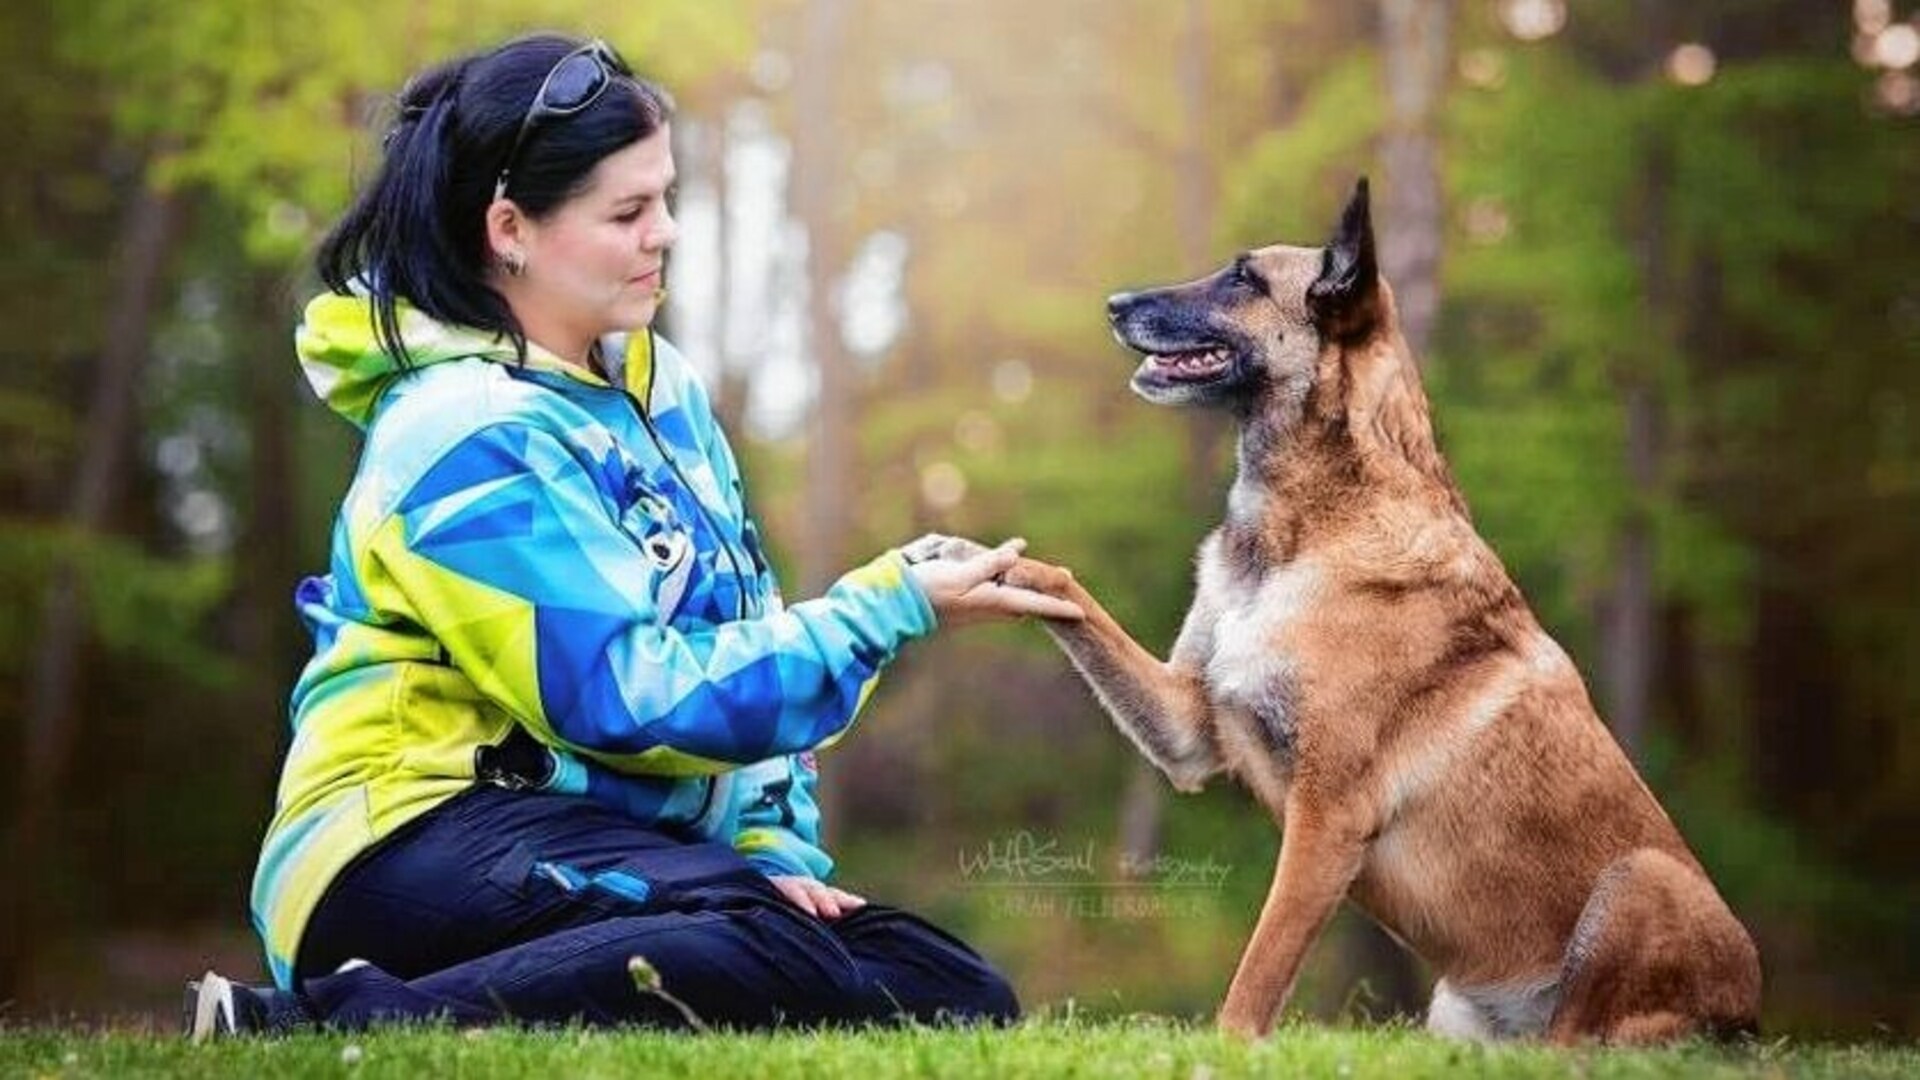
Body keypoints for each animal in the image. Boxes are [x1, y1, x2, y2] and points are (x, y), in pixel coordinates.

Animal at [1013, 180, 1758, 1037]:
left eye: (1243, 278)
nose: (1113, 303)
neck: (1306, 527)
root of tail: (1747, 1013)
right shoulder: (1187, 730)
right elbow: (1062, 587)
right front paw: (969, 564)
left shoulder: (1327, 822)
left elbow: (1257, 976)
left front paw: (1228, 1048)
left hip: (1642, 878)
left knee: (1581, 1040)